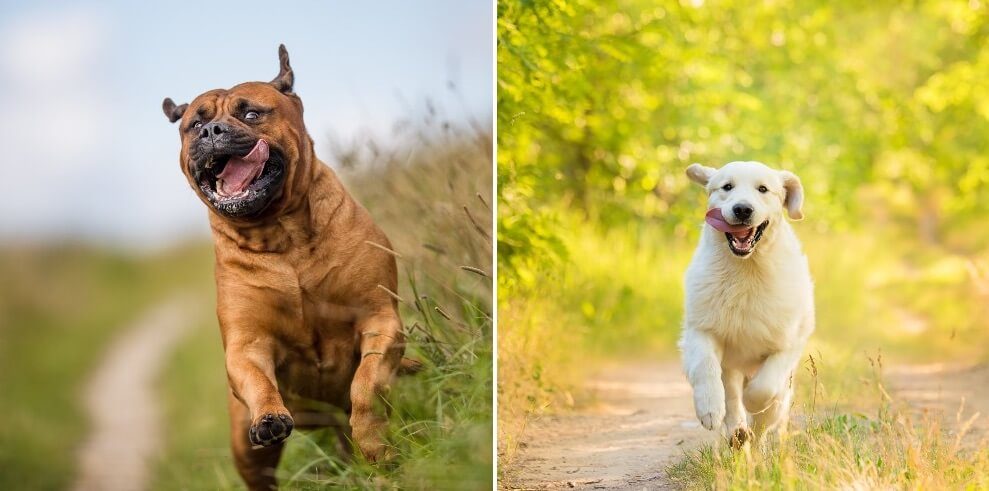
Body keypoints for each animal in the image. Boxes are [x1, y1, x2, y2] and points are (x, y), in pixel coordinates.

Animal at [160, 45, 408, 488]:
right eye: (195, 125)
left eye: (250, 113)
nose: (211, 132)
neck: (281, 233)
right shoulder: (247, 343)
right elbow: (258, 378)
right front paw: (270, 416)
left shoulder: (380, 319)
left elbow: (366, 384)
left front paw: (374, 442)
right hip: (245, 450)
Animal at [680, 161, 812, 446]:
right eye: (727, 186)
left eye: (762, 189)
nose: (742, 209)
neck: (746, 268)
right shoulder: (701, 328)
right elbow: (705, 366)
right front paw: (709, 409)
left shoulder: (788, 343)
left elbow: (765, 387)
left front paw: (754, 402)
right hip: (730, 366)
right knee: (730, 394)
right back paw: (737, 432)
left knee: (771, 412)